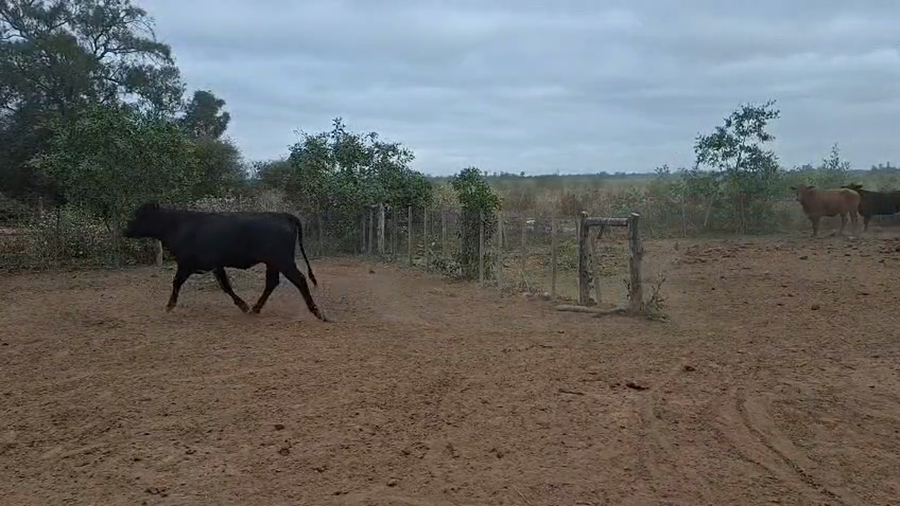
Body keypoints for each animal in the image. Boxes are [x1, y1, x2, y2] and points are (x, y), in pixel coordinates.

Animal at [122, 202, 328, 322]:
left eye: (140, 216)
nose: (126, 230)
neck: (178, 226)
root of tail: (284, 215)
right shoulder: (216, 265)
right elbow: (226, 286)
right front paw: (243, 305)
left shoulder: (186, 264)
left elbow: (176, 282)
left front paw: (169, 306)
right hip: (273, 263)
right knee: (272, 282)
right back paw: (255, 308)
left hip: (283, 260)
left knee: (299, 279)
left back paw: (317, 312)